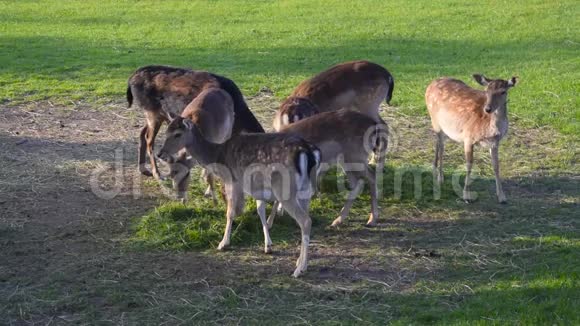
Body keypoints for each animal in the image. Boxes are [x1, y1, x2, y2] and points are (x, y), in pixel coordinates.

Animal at [127, 65, 266, 194]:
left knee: (142, 132)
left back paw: (144, 170)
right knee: (149, 139)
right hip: (152, 112)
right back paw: (157, 174)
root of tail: (131, 79)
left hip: (158, 115)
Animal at [156, 88, 322, 276]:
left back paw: (299, 269)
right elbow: (259, 210)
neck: (217, 155)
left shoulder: (233, 181)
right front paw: (268, 245)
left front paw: (223, 243)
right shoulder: (255, 185)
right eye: (166, 131)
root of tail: (309, 153)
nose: (160, 153)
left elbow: (230, 212)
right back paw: (300, 263)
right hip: (305, 190)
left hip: (286, 190)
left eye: (177, 134)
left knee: (305, 221)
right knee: (306, 219)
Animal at [424, 74, 520, 204]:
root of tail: (431, 83)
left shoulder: (495, 142)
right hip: (435, 121)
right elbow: (469, 165)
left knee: (439, 143)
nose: (488, 109)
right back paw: (439, 177)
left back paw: (437, 171)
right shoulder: (468, 137)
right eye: (486, 91)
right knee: (441, 146)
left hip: (445, 128)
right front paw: (466, 196)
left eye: (503, 92)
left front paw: (502, 197)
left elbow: (496, 166)